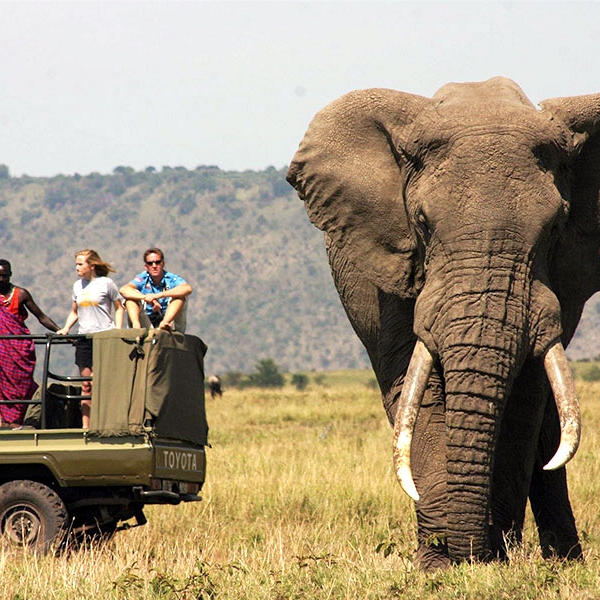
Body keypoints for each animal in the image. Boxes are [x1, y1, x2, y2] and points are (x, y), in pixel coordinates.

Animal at [286, 77, 600, 568]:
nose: (472, 553)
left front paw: (492, 559)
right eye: (422, 223)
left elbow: (522, 397)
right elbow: (420, 388)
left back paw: (564, 561)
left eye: (555, 228)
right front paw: (439, 566)